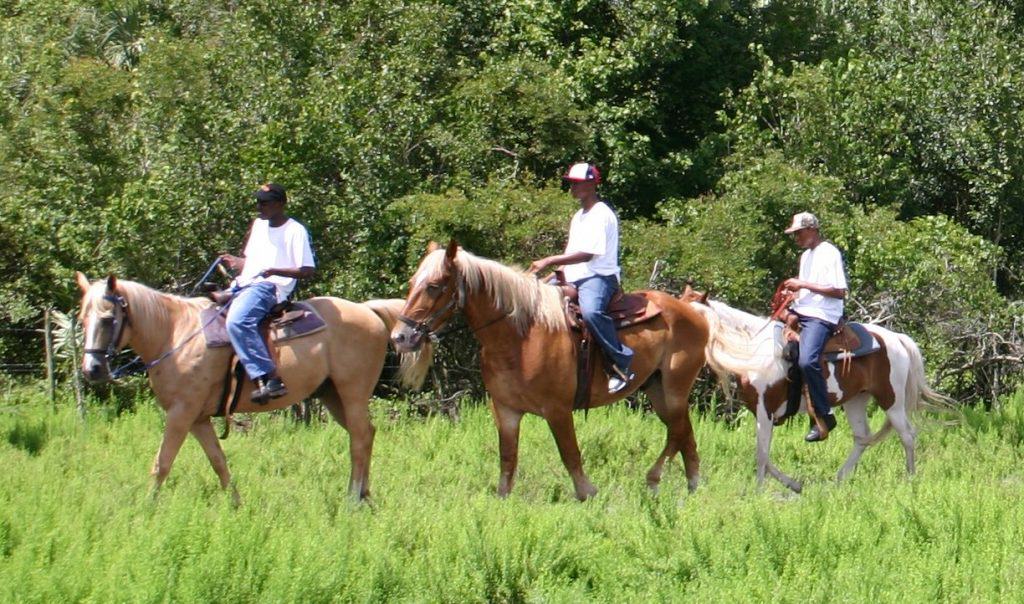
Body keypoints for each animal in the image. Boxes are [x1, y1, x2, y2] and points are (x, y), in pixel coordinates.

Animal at [76, 274, 432, 501]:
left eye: (107, 319)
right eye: (82, 319)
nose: (92, 369)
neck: (175, 334)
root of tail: (367, 309)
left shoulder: (181, 414)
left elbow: (161, 464)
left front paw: (147, 509)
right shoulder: (198, 419)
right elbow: (219, 463)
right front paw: (236, 505)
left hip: (353, 392)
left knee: (359, 439)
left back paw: (353, 499)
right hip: (333, 396)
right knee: (366, 435)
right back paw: (365, 496)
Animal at [387, 241, 708, 501]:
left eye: (434, 285)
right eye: (413, 281)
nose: (400, 337)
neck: (519, 336)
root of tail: (691, 312)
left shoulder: (558, 410)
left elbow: (570, 454)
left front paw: (588, 493)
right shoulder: (505, 410)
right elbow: (507, 460)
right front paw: (502, 503)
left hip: (674, 388)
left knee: (677, 431)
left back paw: (654, 480)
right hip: (657, 389)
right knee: (685, 434)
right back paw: (692, 487)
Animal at [684, 286, 946, 491]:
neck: (753, 350)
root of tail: (896, 338)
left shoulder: (764, 409)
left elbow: (761, 455)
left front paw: (758, 493)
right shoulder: (763, 413)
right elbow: (764, 455)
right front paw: (794, 485)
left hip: (891, 399)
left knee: (907, 435)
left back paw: (910, 480)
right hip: (855, 401)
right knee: (862, 437)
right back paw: (839, 479)